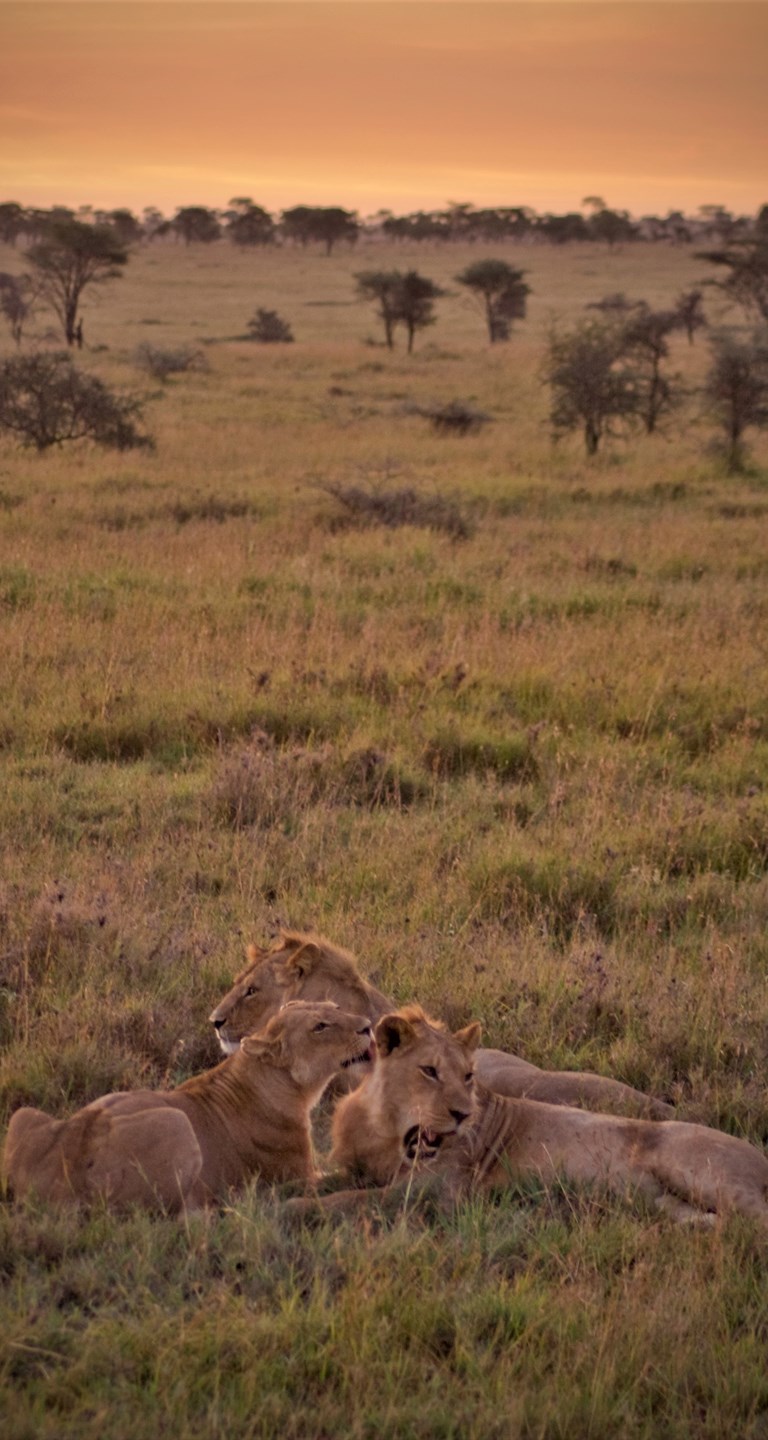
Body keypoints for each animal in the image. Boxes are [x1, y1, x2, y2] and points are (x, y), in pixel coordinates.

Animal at [2, 1002, 374, 1215]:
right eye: (320, 1026)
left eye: (334, 1006)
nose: (368, 1025)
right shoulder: (298, 1175)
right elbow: (343, 1175)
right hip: (176, 1121)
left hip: (25, 1114)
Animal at [302, 1008, 766, 1232]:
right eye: (429, 1071)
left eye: (467, 1076)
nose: (462, 1114)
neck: (386, 1128)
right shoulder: (354, 1167)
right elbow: (323, 1183)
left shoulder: (431, 1195)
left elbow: (346, 1201)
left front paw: (295, 1212)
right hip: (666, 1204)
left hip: (698, 1169)